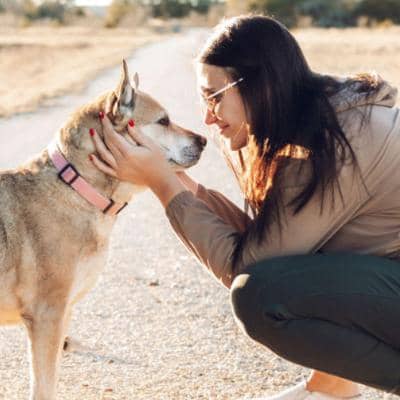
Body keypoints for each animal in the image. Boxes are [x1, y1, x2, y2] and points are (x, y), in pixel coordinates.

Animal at [0, 60, 206, 400]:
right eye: (163, 120)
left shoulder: (60, 317)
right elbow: (43, 386)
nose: (204, 140)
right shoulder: (47, 317)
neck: (76, 186)